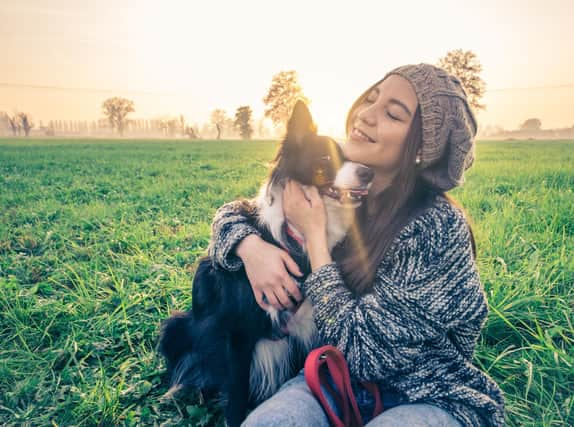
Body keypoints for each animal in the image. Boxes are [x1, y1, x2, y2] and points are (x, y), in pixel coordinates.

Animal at [159, 101, 374, 427]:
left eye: (350, 156)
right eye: (326, 157)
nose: (369, 173)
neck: (295, 238)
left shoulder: (306, 329)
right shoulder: (237, 334)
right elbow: (236, 397)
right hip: (176, 327)